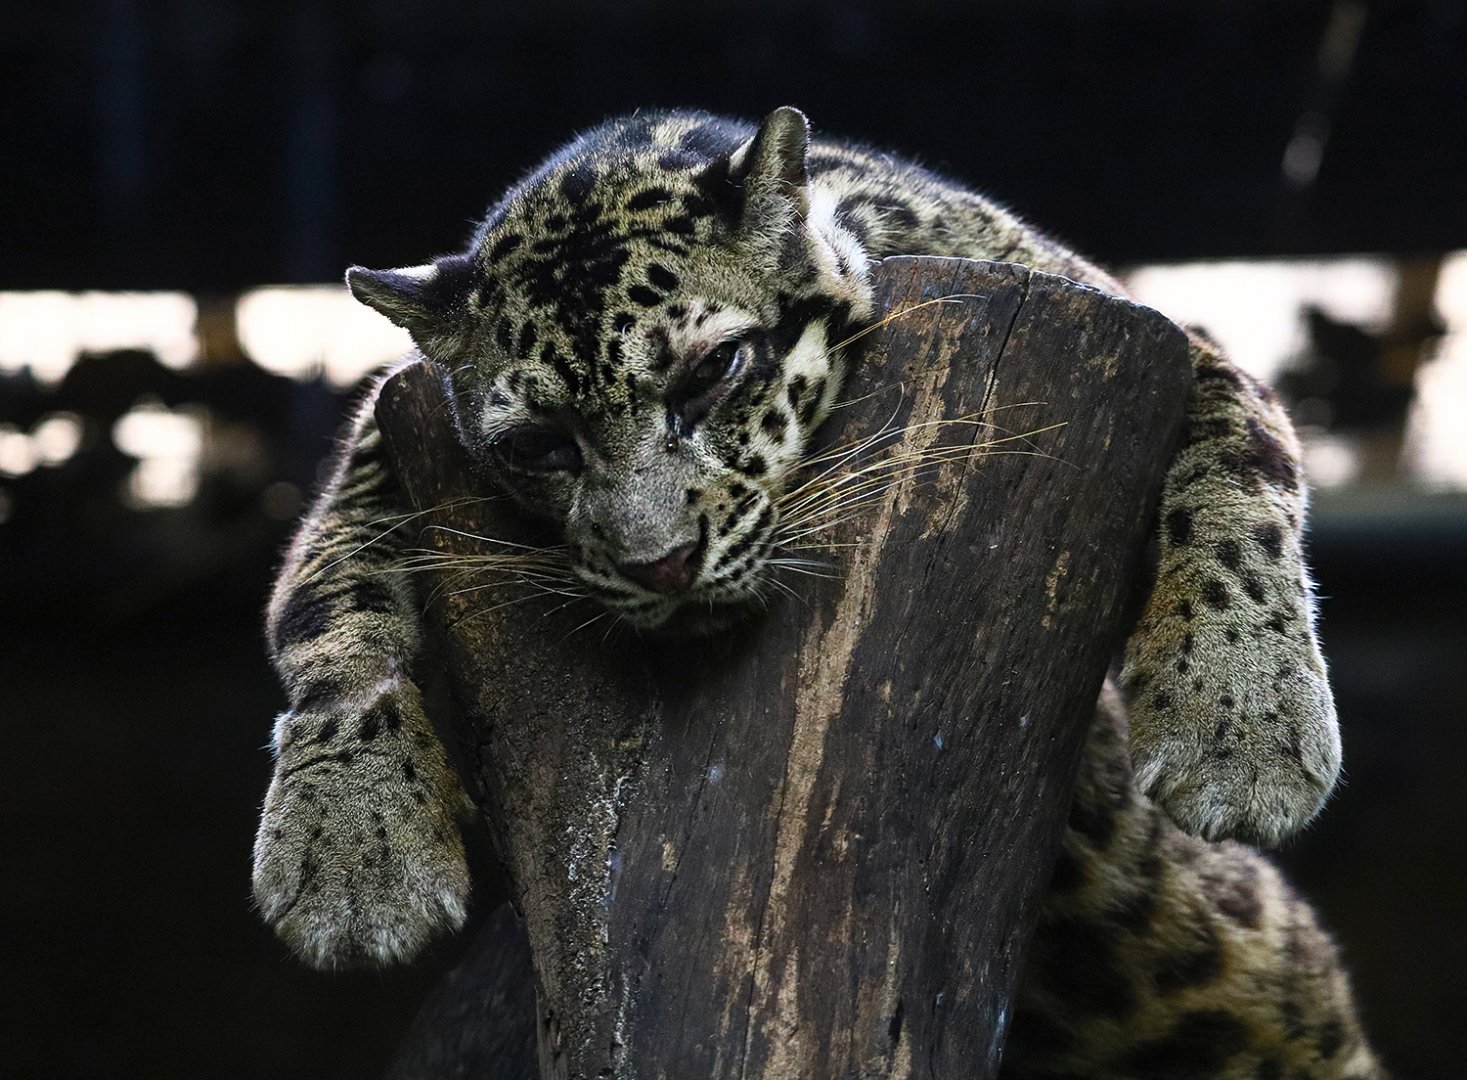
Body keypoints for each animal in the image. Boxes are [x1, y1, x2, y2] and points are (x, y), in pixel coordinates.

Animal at [252, 107, 1383, 1077]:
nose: (658, 563)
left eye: (713, 371)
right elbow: (321, 599)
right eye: (539, 445)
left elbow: (1242, 464)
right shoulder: (381, 436)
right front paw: (351, 854)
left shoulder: (1171, 337)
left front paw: (1241, 727)